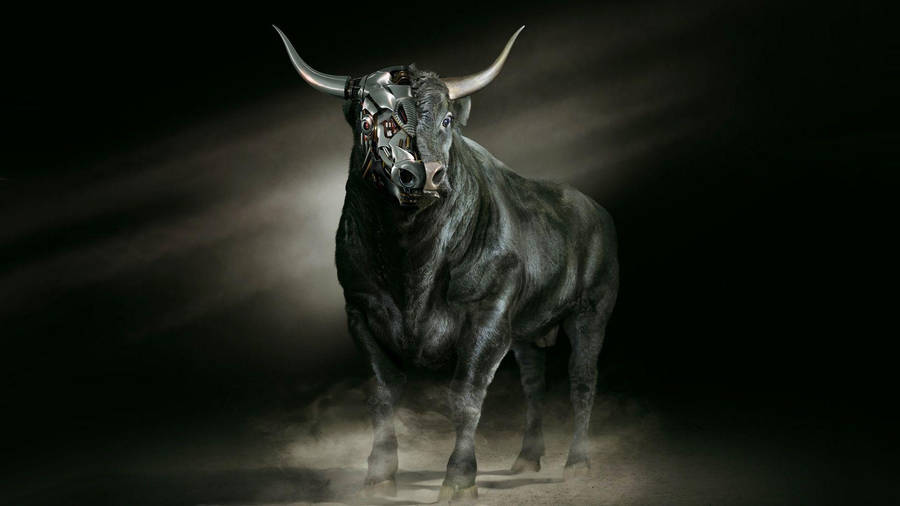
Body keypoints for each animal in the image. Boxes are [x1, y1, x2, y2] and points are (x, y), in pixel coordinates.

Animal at [275, 25, 619, 501]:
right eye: (370, 122)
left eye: (447, 120)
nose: (424, 174)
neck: (411, 261)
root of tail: (596, 210)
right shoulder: (361, 311)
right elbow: (382, 395)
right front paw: (379, 476)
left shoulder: (488, 316)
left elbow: (466, 396)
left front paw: (459, 479)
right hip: (527, 330)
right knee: (534, 383)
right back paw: (526, 458)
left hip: (591, 312)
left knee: (582, 379)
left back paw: (578, 462)